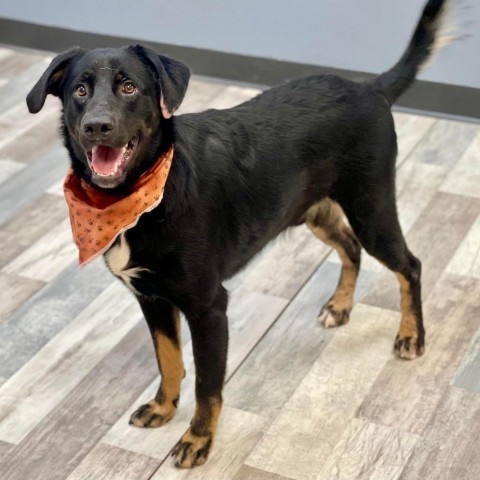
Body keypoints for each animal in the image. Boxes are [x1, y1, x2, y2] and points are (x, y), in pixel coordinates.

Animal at [28, 0, 452, 468]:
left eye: (129, 87)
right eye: (79, 91)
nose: (97, 126)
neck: (140, 199)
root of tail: (367, 88)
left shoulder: (209, 307)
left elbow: (207, 385)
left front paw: (198, 440)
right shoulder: (152, 299)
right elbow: (168, 360)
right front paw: (163, 407)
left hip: (370, 208)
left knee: (409, 265)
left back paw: (411, 336)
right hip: (314, 211)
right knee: (351, 248)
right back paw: (340, 306)